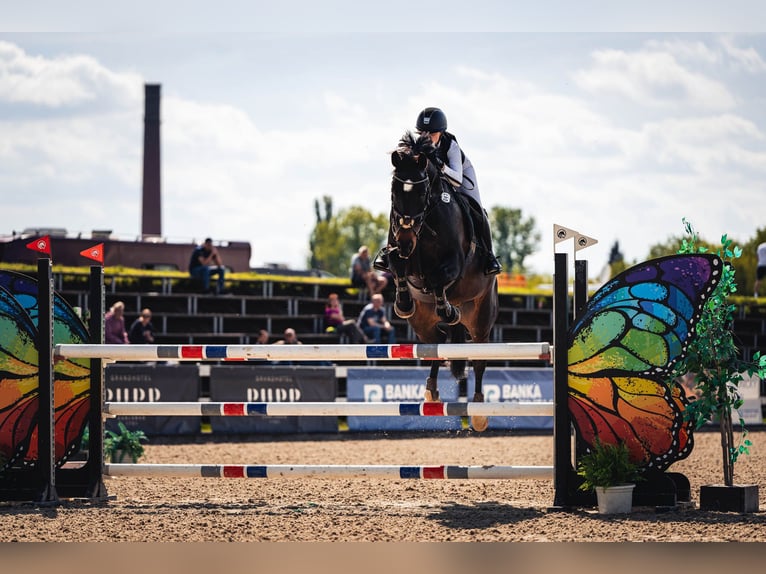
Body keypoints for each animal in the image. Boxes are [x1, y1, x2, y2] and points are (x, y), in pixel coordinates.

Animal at [388, 133, 500, 432]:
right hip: (422, 322)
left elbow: (439, 280)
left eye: (422, 193)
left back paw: (480, 413)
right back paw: (430, 392)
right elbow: (395, 264)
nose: (406, 241)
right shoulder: (401, 254)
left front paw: (449, 311)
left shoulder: (454, 266)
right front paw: (403, 303)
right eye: (394, 191)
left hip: (482, 318)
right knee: (434, 345)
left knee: (479, 358)